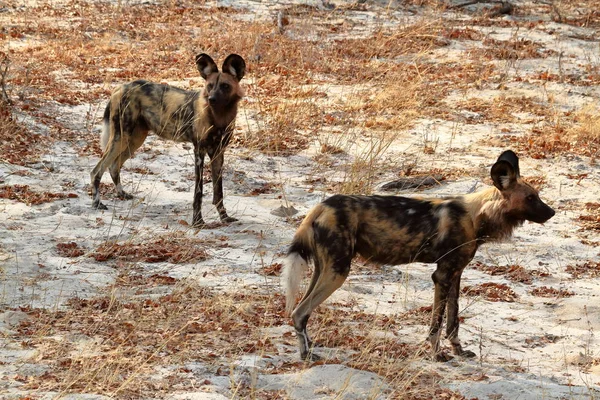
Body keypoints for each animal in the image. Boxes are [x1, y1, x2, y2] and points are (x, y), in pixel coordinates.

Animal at [89, 54, 244, 228]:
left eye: (225, 86)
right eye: (210, 86)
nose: (212, 99)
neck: (219, 117)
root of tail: (121, 87)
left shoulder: (218, 153)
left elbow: (219, 192)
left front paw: (224, 217)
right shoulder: (199, 152)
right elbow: (198, 192)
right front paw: (198, 221)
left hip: (134, 140)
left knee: (114, 166)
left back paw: (122, 194)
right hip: (120, 138)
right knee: (96, 170)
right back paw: (97, 203)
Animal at [284, 151, 556, 362]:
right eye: (531, 198)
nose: (552, 212)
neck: (477, 215)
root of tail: (320, 206)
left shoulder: (455, 274)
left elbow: (453, 319)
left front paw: (458, 350)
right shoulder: (442, 275)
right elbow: (437, 322)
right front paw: (437, 354)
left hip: (324, 269)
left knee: (301, 309)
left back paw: (309, 348)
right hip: (337, 272)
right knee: (299, 312)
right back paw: (306, 355)